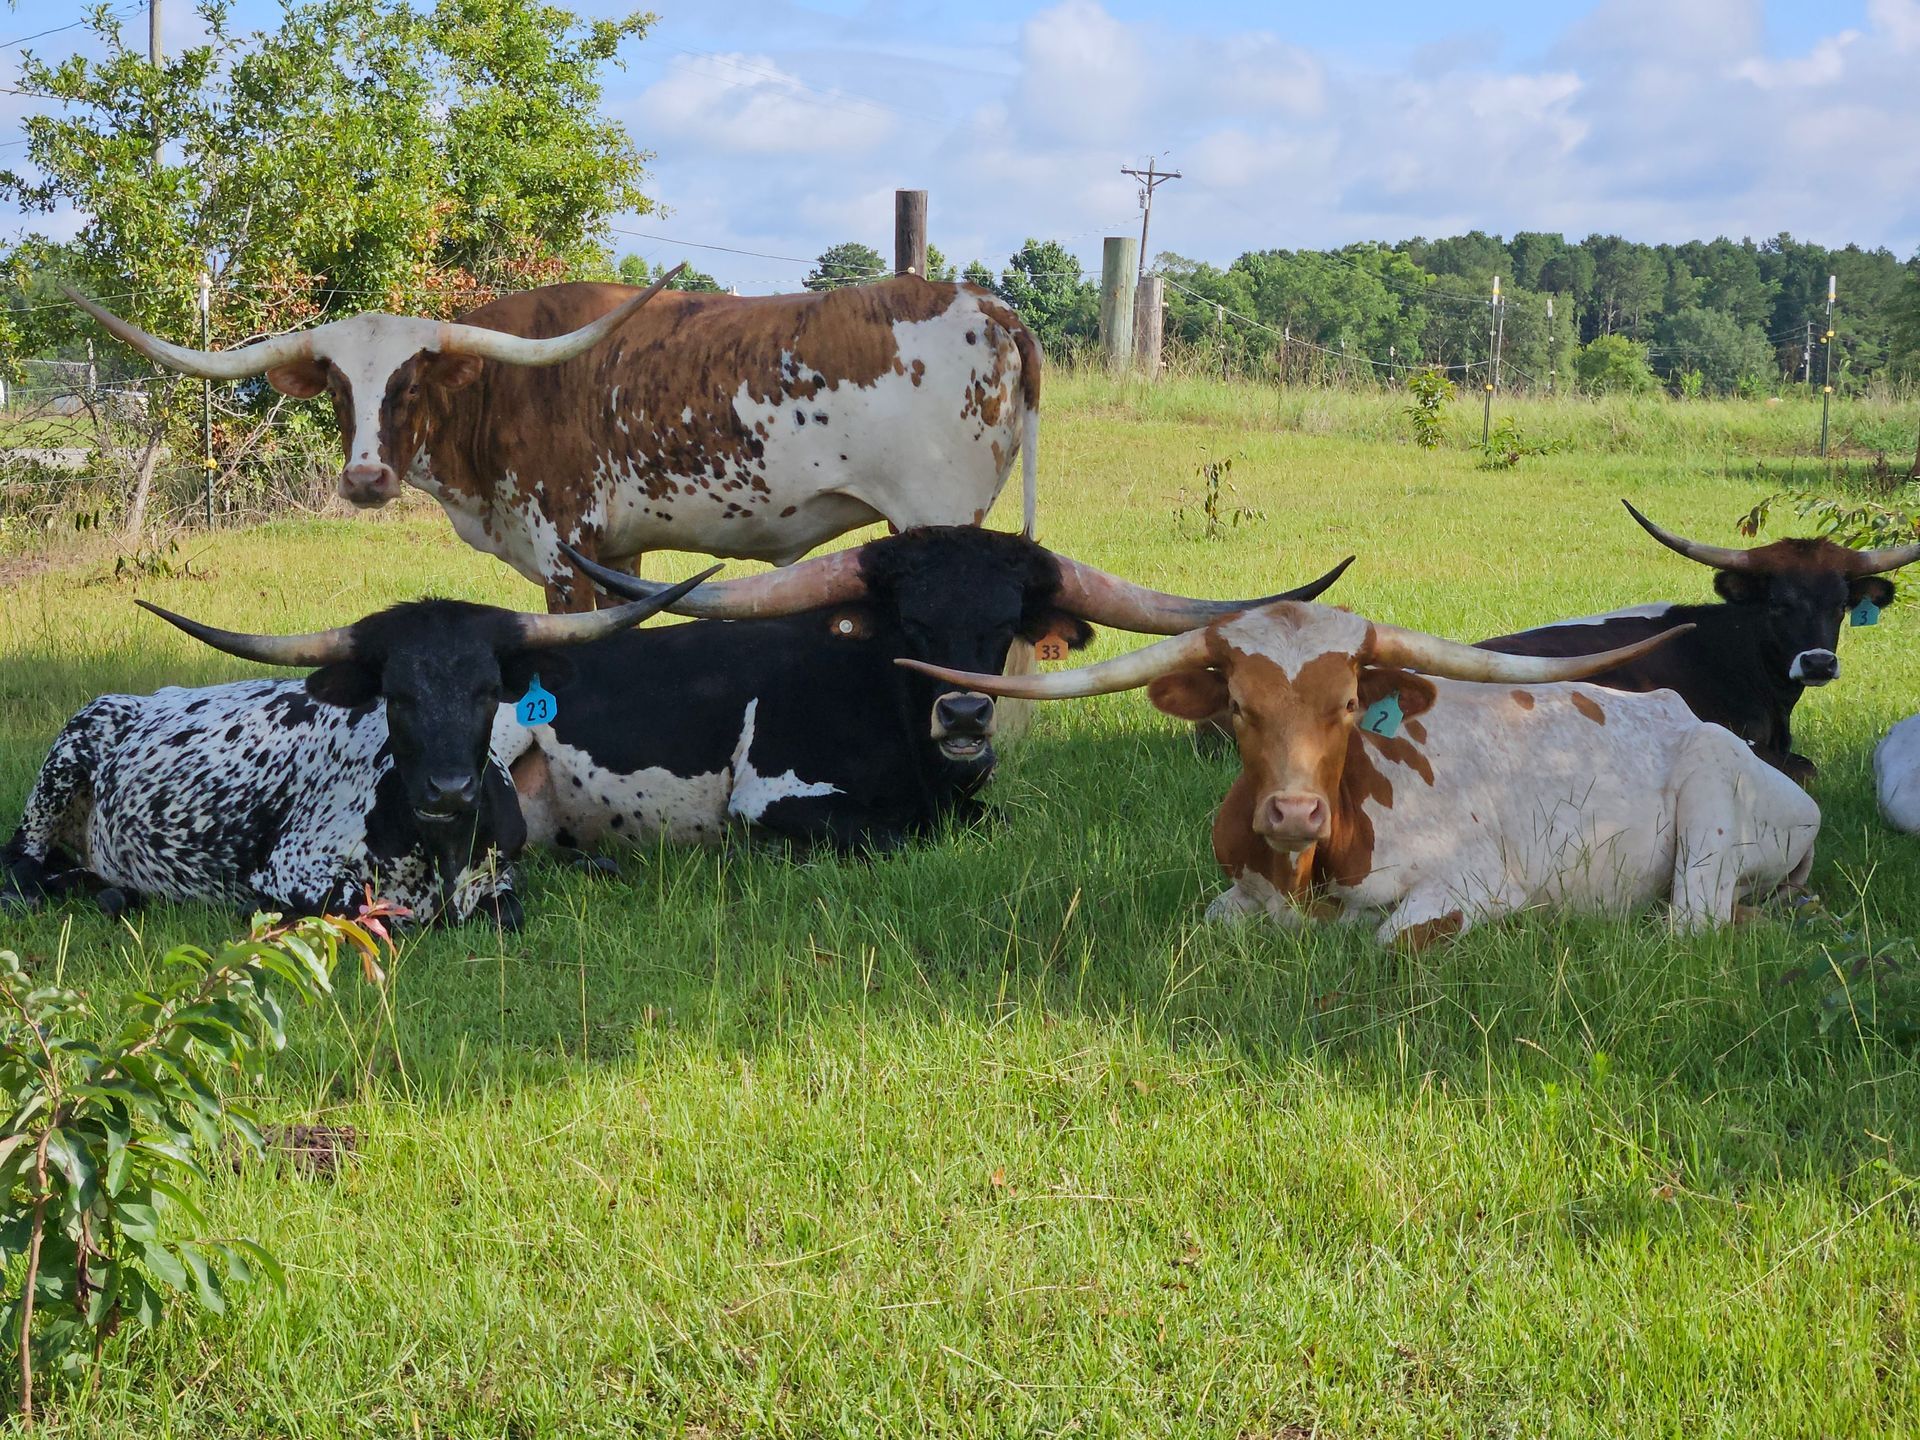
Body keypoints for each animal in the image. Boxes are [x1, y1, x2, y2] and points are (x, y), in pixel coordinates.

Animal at [0, 572, 711, 926]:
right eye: (395, 694)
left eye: (488, 691)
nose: (448, 789)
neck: (438, 848)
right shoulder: (290, 869)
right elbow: (376, 912)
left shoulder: (502, 875)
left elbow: (505, 908)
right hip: (61, 766)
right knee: (19, 866)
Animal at [67, 272, 1045, 613]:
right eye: (341, 388)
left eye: (410, 382)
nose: (367, 478)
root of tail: (982, 302)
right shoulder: (622, 552)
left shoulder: (567, 551)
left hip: (940, 519)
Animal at [898, 602, 1823, 947]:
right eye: (1238, 706)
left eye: (1347, 703)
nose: (1293, 813)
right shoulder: (1235, 896)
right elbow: (1216, 920)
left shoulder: (1475, 884)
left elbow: (1387, 936)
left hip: (1709, 792)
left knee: (1692, 921)